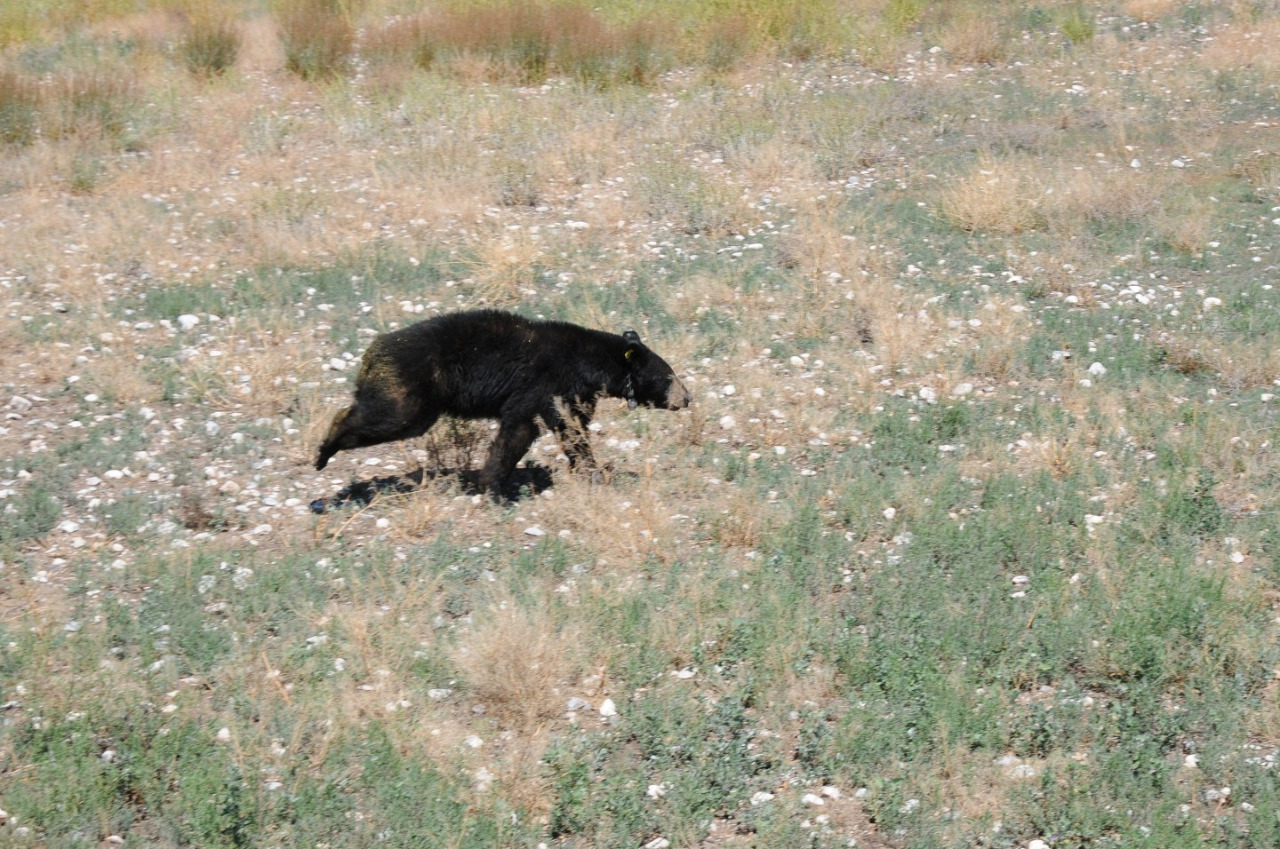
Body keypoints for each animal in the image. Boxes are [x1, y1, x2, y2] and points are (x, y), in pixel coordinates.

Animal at [315, 309, 691, 498]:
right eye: (668, 375)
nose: (687, 397)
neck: (586, 361)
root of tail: (370, 355)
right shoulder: (544, 384)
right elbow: (521, 428)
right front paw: (493, 486)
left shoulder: (570, 395)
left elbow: (570, 430)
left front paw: (590, 470)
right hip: (414, 386)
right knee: (390, 416)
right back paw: (324, 449)